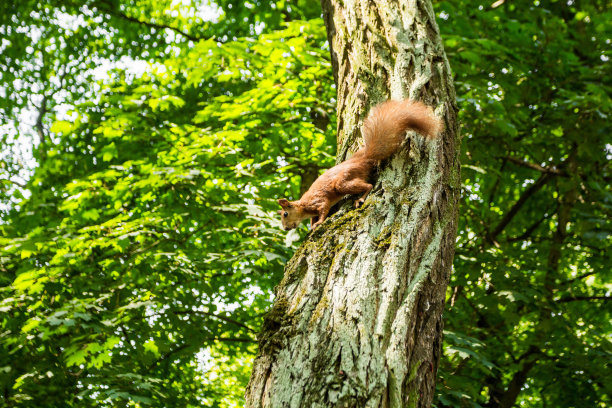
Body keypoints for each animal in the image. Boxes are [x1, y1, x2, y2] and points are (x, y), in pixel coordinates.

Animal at [278, 99, 440, 230]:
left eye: (285, 214)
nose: (285, 228)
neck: (304, 206)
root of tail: (364, 159)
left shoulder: (318, 201)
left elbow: (323, 210)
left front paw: (319, 223)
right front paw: (312, 226)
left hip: (343, 181)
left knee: (368, 185)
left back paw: (360, 199)